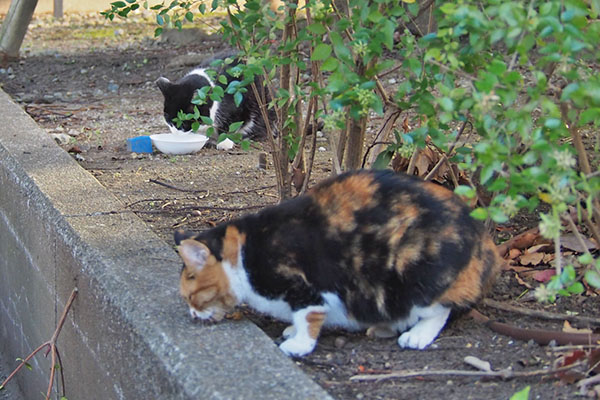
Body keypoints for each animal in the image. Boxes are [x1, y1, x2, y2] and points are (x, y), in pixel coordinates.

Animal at [175, 169, 502, 356]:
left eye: (191, 297)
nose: (191, 314)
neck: (243, 253)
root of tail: (484, 240)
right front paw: (292, 331)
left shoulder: (302, 286)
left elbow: (308, 316)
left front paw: (299, 344)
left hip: (415, 275)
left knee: (441, 309)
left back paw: (417, 335)